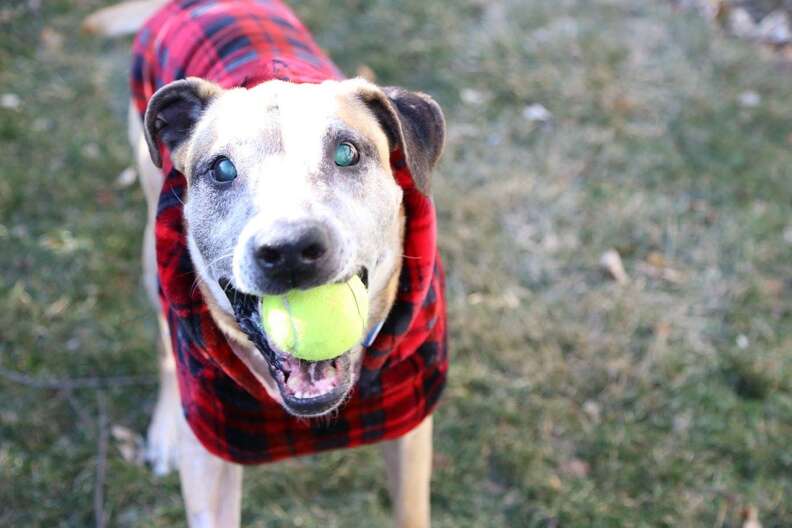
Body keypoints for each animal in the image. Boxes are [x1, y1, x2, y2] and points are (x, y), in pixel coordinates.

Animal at [86, 2, 448, 524]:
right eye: (221, 169)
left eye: (347, 152)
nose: (290, 250)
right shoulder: (210, 457)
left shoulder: (412, 427)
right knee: (165, 345)